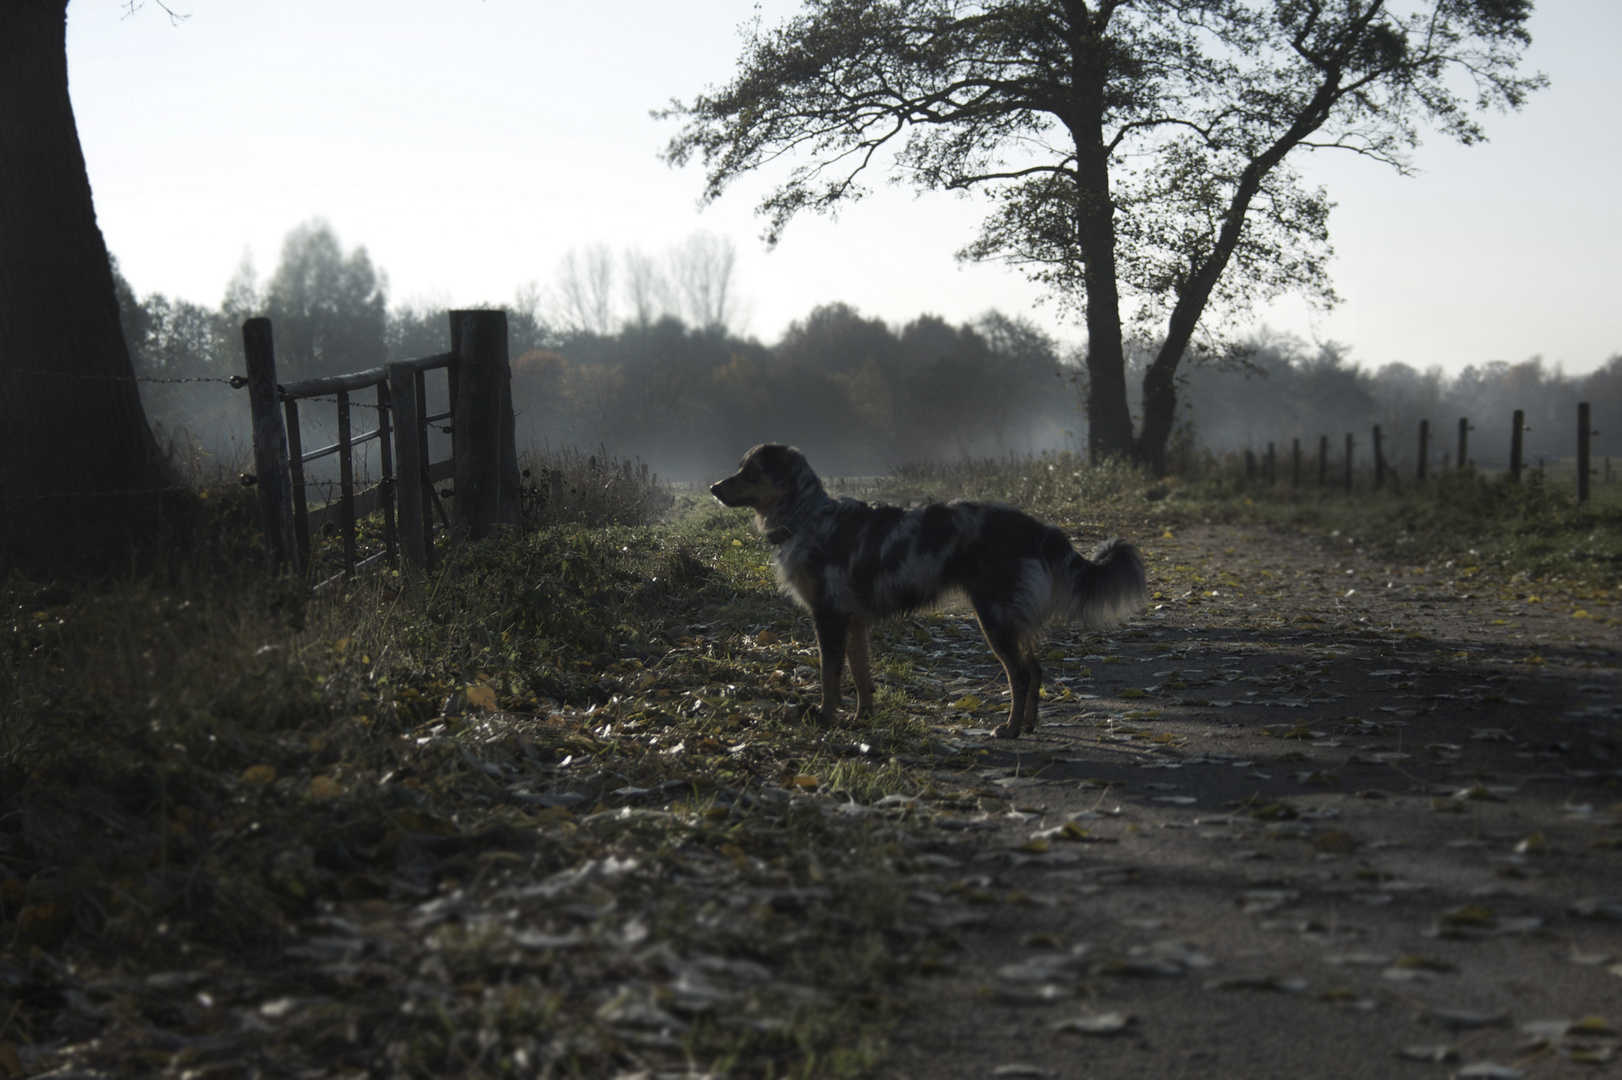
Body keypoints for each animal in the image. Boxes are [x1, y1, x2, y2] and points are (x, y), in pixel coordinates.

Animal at [703, 441, 1148, 736]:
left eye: (751, 471)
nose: (712, 488)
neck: (808, 517)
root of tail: (1036, 527)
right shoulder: (854, 620)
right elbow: (861, 673)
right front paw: (862, 717)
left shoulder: (828, 615)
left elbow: (831, 673)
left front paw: (826, 716)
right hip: (1010, 617)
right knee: (1036, 668)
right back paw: (1028, 724)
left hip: (994, 616)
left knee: (1019, 673)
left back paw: (1008, 728)